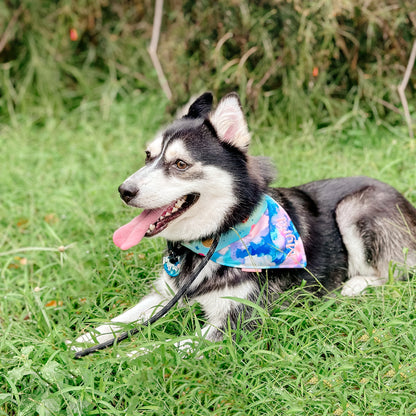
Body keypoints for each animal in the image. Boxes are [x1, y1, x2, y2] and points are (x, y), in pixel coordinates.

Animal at [71, 92, 416, 352]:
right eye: (147, 156)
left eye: (180, 164)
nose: (124, 191)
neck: (213, 238)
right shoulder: (166, 295)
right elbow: (123, 319)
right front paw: (83, 340)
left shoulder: (236, 325)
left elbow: (155, 350)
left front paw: (114, 360)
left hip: (354, 208)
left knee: (395, 274)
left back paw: (356, 284)